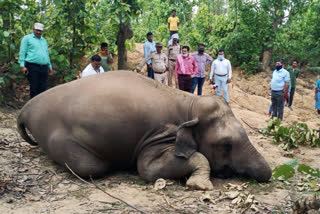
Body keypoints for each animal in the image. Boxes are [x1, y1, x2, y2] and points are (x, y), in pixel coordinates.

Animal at [17, 70, 272, 191]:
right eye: (226, 145)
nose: (268, 176)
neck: (189, 103)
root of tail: (26, 109)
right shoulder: (158, 135)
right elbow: (146, 169)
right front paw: (200, 185)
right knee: (90, 166)